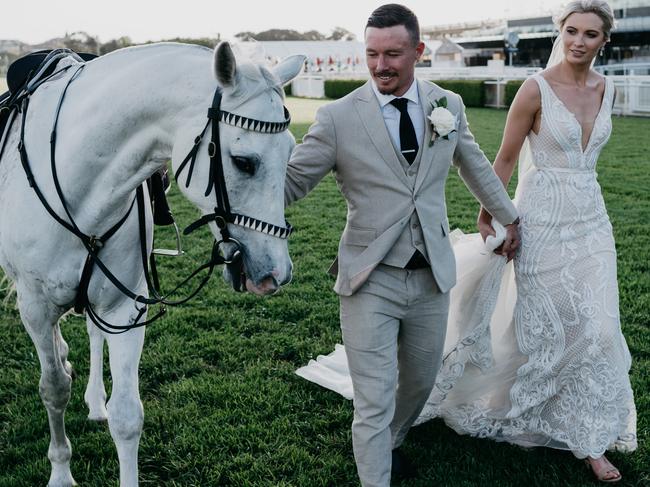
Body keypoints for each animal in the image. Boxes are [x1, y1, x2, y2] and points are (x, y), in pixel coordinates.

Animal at [0, 43, 304, 487]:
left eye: (291, 153)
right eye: (244, 162)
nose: (276, 273)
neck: (78, 181)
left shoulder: (125, 307)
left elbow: (128, 416)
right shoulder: (35, 308)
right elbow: (53, 388)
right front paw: (60, 473)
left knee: (92, 334)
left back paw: (94, 399)